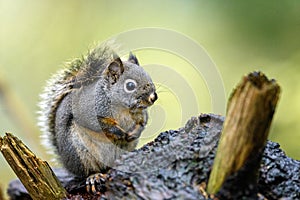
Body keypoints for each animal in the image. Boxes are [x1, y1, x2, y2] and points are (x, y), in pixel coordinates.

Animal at [38, 43, 157, 192]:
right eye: (130, 85)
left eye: (150, 77)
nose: (153, 97)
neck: (122, 107)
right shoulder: (88, 112)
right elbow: (102, 125)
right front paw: (120, 133)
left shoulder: (140, 114)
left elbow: (142, 123)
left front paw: (135, 133)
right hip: (80, 152)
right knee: (88, 170)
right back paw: (94, 176)